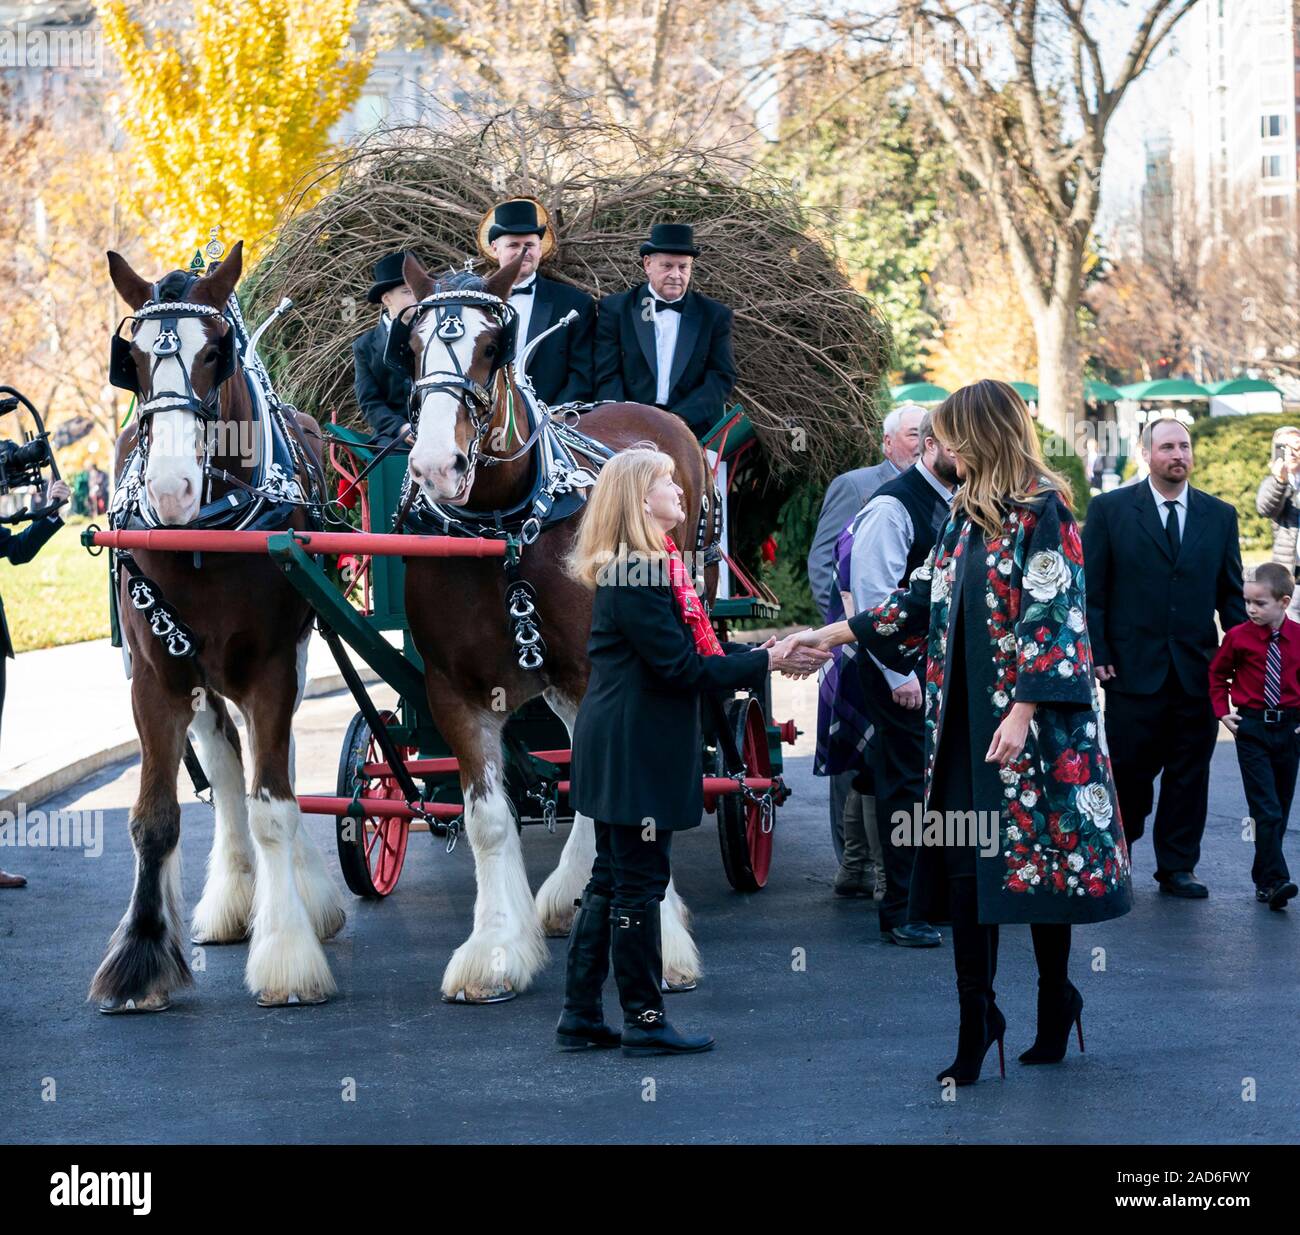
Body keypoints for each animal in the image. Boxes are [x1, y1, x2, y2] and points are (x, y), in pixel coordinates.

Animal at [92, 244, 345, 1013]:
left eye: (214, 354)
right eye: (132, 360)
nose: (170, 490)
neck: (208, 532)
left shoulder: (272, 666)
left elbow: (275, 804)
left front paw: (288, 953)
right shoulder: (155, 677)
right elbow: (154, 816)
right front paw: (142, 956)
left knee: (272, 770)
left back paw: (301, 892)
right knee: (226, 760)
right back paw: (237, 894)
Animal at [397, 256, 712, 1008]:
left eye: (494, 346)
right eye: (411, 344)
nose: (436, 465)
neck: (509, 533)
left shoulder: (606, 670)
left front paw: (661, 942)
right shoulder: (455, 689)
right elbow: (489, 819)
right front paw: (496, 950)